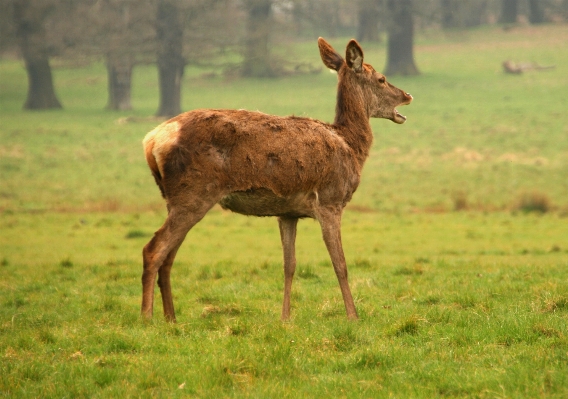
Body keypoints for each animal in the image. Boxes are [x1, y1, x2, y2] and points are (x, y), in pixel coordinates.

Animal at [140, 37, 410, 324]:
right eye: (381, 79)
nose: (407, 95)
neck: (351, 146)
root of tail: (151, 141)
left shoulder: (288, 212)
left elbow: (289, 265)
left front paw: (285, 318)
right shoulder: (330, 200)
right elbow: (340, 263)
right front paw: (353, 316)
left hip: (176, 198)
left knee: (169, 256)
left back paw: (171, 318)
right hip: (194, 193)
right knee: (154, 250)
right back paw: (147, 318)